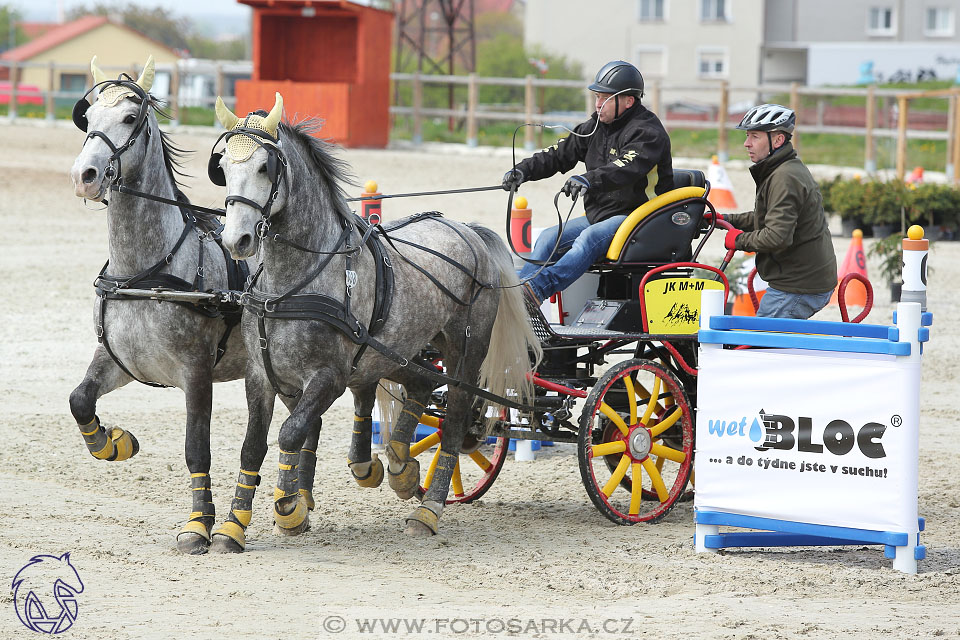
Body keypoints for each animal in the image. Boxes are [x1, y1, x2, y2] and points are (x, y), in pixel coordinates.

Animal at [67, 56, 322, 556]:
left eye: (130, 118)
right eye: (87, 118)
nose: (84, 176)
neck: (147, 273)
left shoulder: (196, 373)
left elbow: (195, 447)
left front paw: (200, 524)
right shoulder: (117, 359)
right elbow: (80, 400)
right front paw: (115, 442)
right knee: (309, 423)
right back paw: (297, 504)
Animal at [208, 95, 540, 552]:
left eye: (264, 167)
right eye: (223, 167)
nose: (235, 240)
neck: (293, 284)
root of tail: (469, 231)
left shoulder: (328, 377)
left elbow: (291, 433)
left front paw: (289, 509)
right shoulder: (260, 375)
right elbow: (252, 446)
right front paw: (233, 526)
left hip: (465, 351)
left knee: (455, 420)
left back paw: (427, 510)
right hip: (398, 350)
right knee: (422, 383)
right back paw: (401, 467)